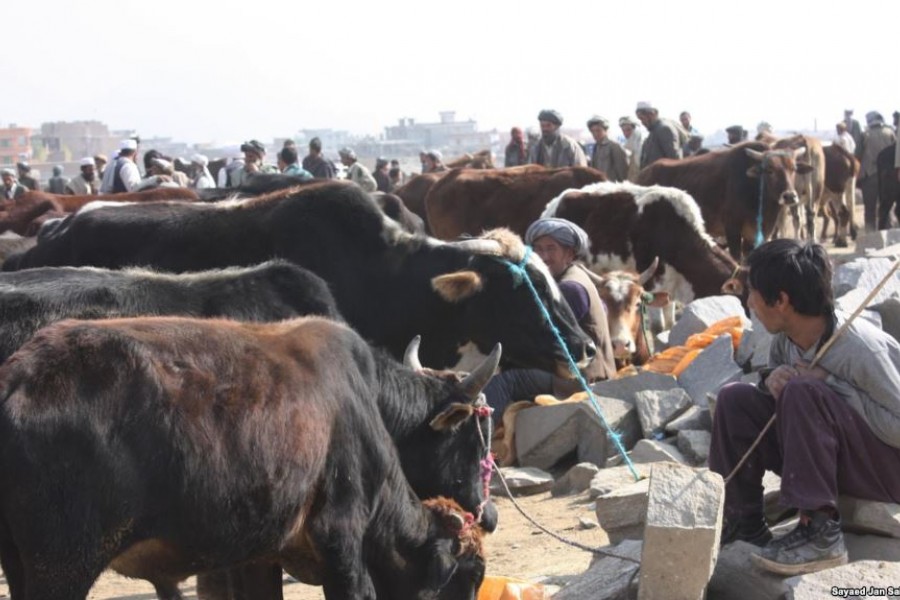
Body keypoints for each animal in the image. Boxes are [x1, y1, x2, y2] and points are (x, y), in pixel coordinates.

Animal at [0, 316, 492, 596]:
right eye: (468, 576)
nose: (489, 516)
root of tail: (19, 375)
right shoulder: (341, 538)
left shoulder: (258, 554)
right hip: (64, 564)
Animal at [636, 144, 812, 262]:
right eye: (770, 170)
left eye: (793, 169)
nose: (789, 196)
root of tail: (643, 173)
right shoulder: (732, 229)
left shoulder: (754, 235)